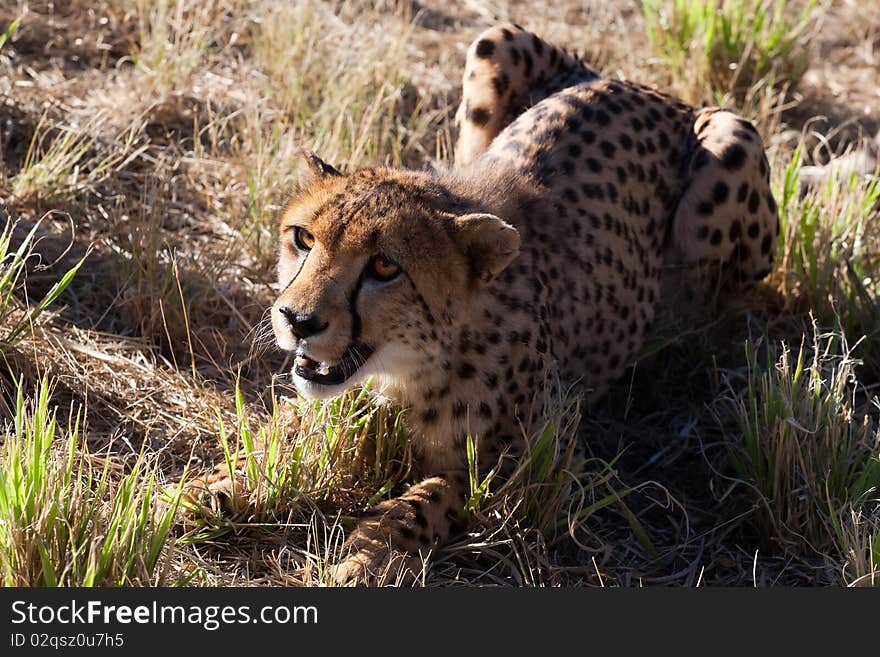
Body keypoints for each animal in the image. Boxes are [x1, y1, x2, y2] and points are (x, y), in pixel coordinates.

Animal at [194, 24, 776, 584]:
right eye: (303, 239)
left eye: (384, 267)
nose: (297, 320)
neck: (413, 364)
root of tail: (642, 86)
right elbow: (275, 431)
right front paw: (204, 487)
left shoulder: (543, 458)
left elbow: (430, 498)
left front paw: (367, 554)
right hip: (494, 42)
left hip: (733, 150)